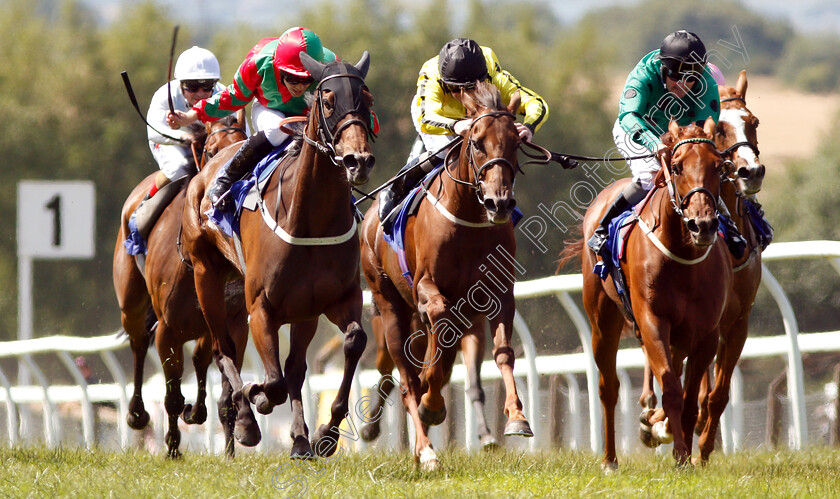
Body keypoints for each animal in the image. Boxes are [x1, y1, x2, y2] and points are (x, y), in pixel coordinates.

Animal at [110, 112, 246, 458]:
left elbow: (228, 393)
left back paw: (196, 412)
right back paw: (137, 414)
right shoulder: (168, 330)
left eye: (243, 143)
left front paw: (230, 451)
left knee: (199, 358)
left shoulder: (235, 324)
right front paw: (172, 448)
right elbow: (171, 395)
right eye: (210, 150)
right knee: (138, 343)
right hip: (131, 303)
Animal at [182, 52, 376, 458]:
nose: (358, 160)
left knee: (295, 367)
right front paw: (253, 402)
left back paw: (300, 439)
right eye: (328, 100)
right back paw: (244, 419)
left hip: (301, 311)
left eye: (367, 99)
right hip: (206, 276)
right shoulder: (260, 309)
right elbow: (272, 383)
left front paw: (324, 435)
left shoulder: (336, 299)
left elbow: (351, 344)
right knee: (223, 350)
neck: (312, 220)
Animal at [360, 82, 532, 472]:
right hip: (389, 305)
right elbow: (433, 339)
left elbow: (503, 352)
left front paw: (516, 416)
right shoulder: (428, 289)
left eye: (515, 142)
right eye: (478, 142)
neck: (467, 217)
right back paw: (424, 449)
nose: (499, 202)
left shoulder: (497, 293)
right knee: (404, 378)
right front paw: (431, 402)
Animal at [560, 119, 732, 470]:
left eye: (719, 167)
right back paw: (610, 459)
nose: (703, 225)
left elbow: (689, 399)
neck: (683, 257)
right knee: (608, 388)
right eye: (677, 167)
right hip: (603, 322)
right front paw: (678, 452)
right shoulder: (653, 321)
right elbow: (671, 389)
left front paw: (682, 451)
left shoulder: (705, 333)